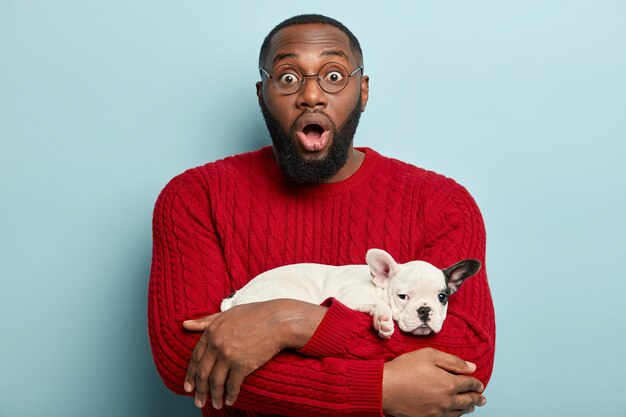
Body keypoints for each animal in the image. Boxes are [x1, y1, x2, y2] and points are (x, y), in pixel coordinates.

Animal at [222, 247, 480, 338]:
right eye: (402, 297)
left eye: (442, 297)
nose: (425, 311)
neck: (378, 286)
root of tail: (237, 297)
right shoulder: (350, 295)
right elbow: (380, 305)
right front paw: (384, 320)